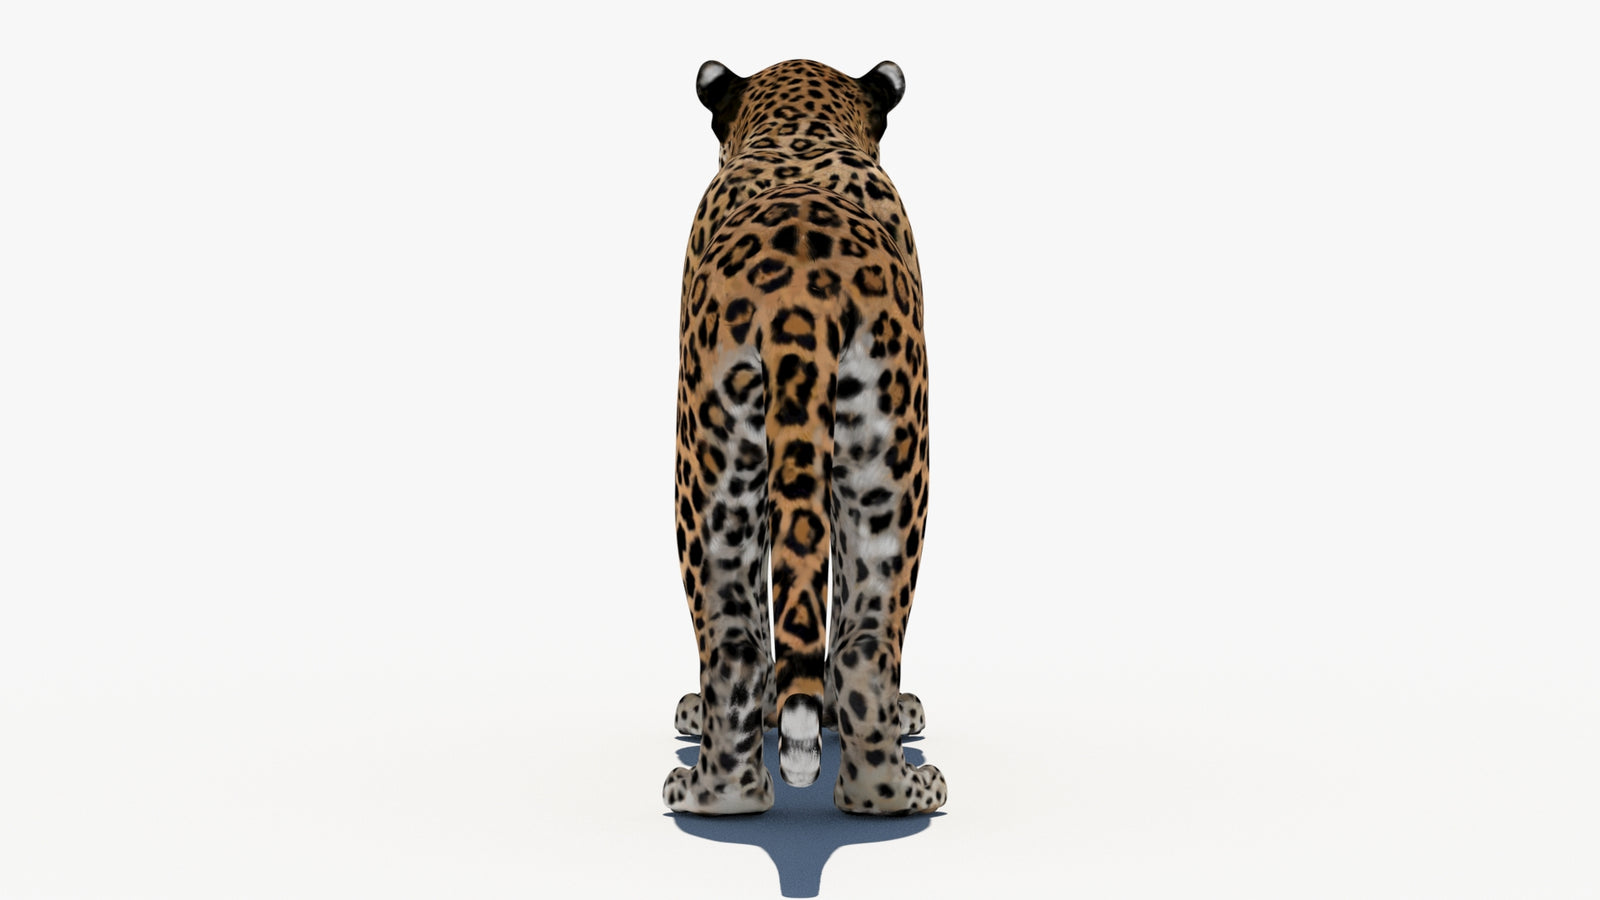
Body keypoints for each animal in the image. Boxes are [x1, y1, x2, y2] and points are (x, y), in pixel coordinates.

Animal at [663, 59, 946, 817]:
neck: (800, 129)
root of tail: (800, 304)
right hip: (888, 466)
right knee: (859, 642)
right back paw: (896, 788)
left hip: (714, 468)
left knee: (741, 640)